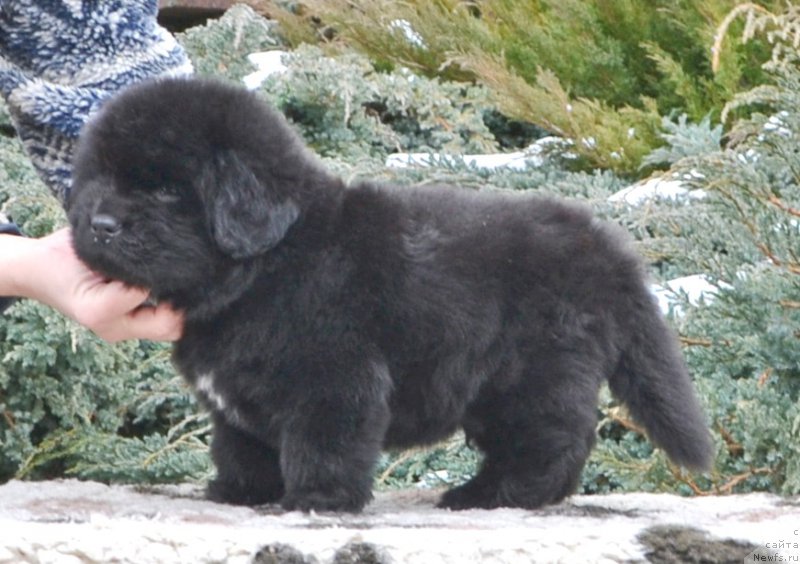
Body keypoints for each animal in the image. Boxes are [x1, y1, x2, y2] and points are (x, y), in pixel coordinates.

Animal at [65, 75, 708, 512]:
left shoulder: (333, 375)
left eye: (167, 191)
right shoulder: (237, 401)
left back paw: (490, 494)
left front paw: (316, 500)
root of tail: (601, 245)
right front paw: (237, 492)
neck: (269, 266)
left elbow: (323, 442)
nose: (99, 224)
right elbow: (241, 445)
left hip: (529, 376)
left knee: (553, 442)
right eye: (100, 177)